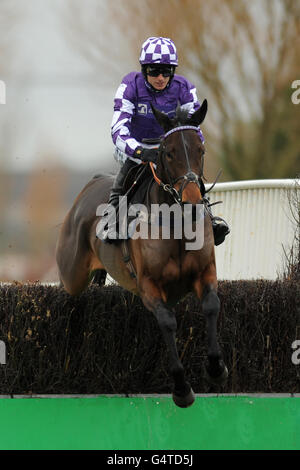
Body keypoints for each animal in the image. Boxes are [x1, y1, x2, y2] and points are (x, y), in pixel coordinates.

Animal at [55, 100, 227, 408]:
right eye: (168, 152)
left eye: (201, 150)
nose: (193, 202)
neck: (175, 223)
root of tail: (90, 185)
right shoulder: (147, 285)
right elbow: (167, 322)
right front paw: (182, 389)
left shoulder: (205, 272)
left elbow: (211, 306)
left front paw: (216, 368)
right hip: (71, 273)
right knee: (67, 286)